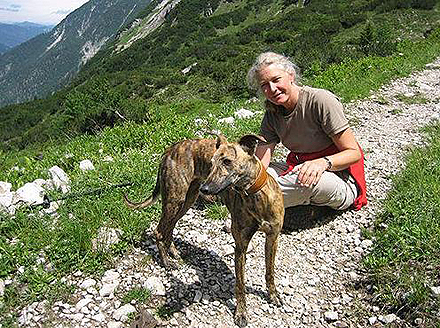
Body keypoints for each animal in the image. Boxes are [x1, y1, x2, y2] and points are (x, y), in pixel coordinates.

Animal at [124, 135, 282, 326]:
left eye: (227, 161)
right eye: (211, 163)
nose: (205, 189)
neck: (255, 195)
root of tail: (170, 149)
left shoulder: (272, 238)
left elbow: (269, 271)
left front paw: (272, 294)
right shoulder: (240, 246)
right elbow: (240, 285)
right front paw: (241, 313)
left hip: (187, 200)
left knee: (170, 227)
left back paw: (173, 251)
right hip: (175, 199)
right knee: (159, 231)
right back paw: (166, 261)